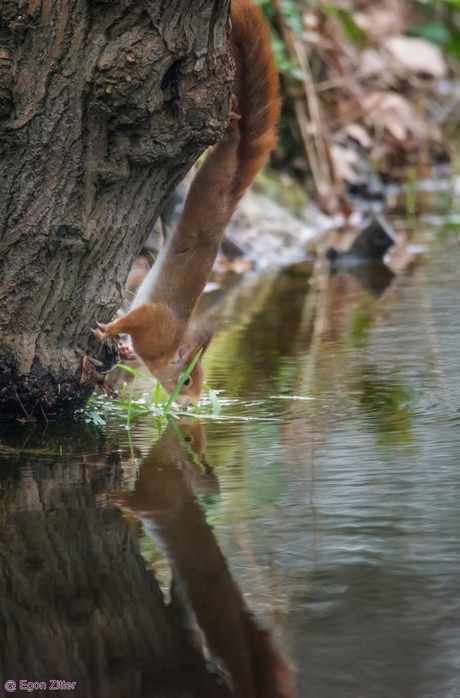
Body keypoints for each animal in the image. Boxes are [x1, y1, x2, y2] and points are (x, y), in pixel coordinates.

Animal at [93, 0, 280, 406]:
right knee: (231, 142)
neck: (166, 348)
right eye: (188, 379)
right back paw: (233, 119)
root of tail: (230, 200)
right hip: (215, 181)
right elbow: (131, 320)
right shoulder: (152, 321)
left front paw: (124, 349)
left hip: (180, 206)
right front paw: (108, 331)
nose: (190, 405)